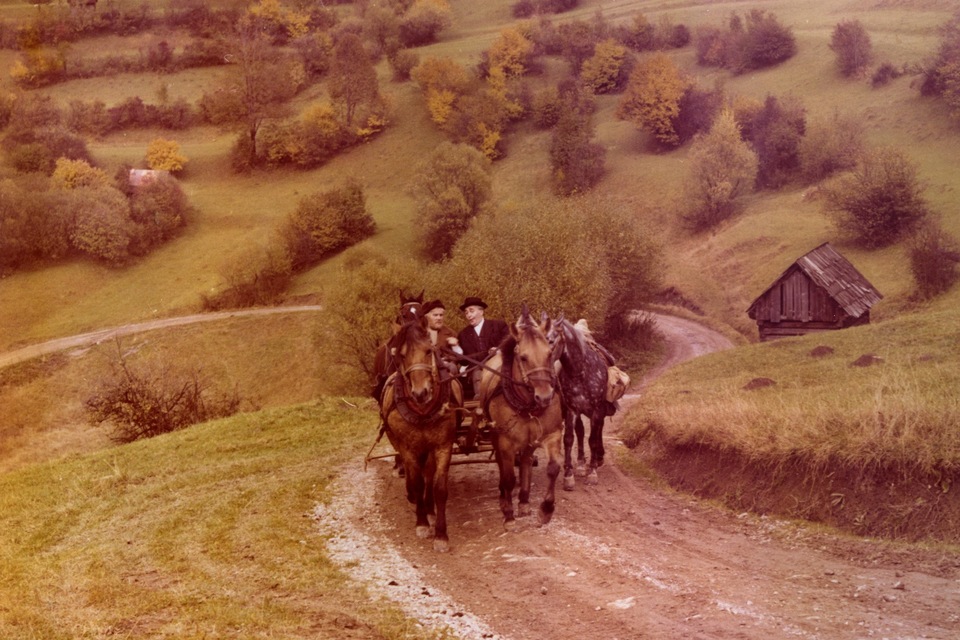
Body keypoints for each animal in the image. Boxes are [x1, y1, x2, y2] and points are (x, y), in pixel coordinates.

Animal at [378, 314, 462, 552]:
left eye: (428, 351)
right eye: (402, 355)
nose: (421, 392)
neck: (423, 411)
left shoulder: (442, 445)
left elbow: (439, 487)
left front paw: (441, 534)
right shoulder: (408, 447)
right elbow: (416, 482)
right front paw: (422, 523)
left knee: (428, 475)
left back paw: (429, 508)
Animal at [478, 304, 564, 528]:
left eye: (549, 353)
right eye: (523, 357)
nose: (544, 397)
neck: (527, 405)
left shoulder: (552, 434)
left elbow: (553, 468)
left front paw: (546, 510)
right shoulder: (505, 442)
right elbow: (508, 477)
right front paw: (508, 513)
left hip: (529, 440)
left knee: (526, 461)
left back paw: (524, 501)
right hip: (496, 436)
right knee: (502, 466)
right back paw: (505, 499)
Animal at [552, 316, 620, 490]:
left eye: (551, 339)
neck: (580, 371)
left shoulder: (597, 410)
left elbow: (593, 440)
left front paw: (592, 472)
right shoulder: (572, 409)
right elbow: (569, 438)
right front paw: (569, 475)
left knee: (597, 431)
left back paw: (597, 459)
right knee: (581, 431)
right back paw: (582, 464)